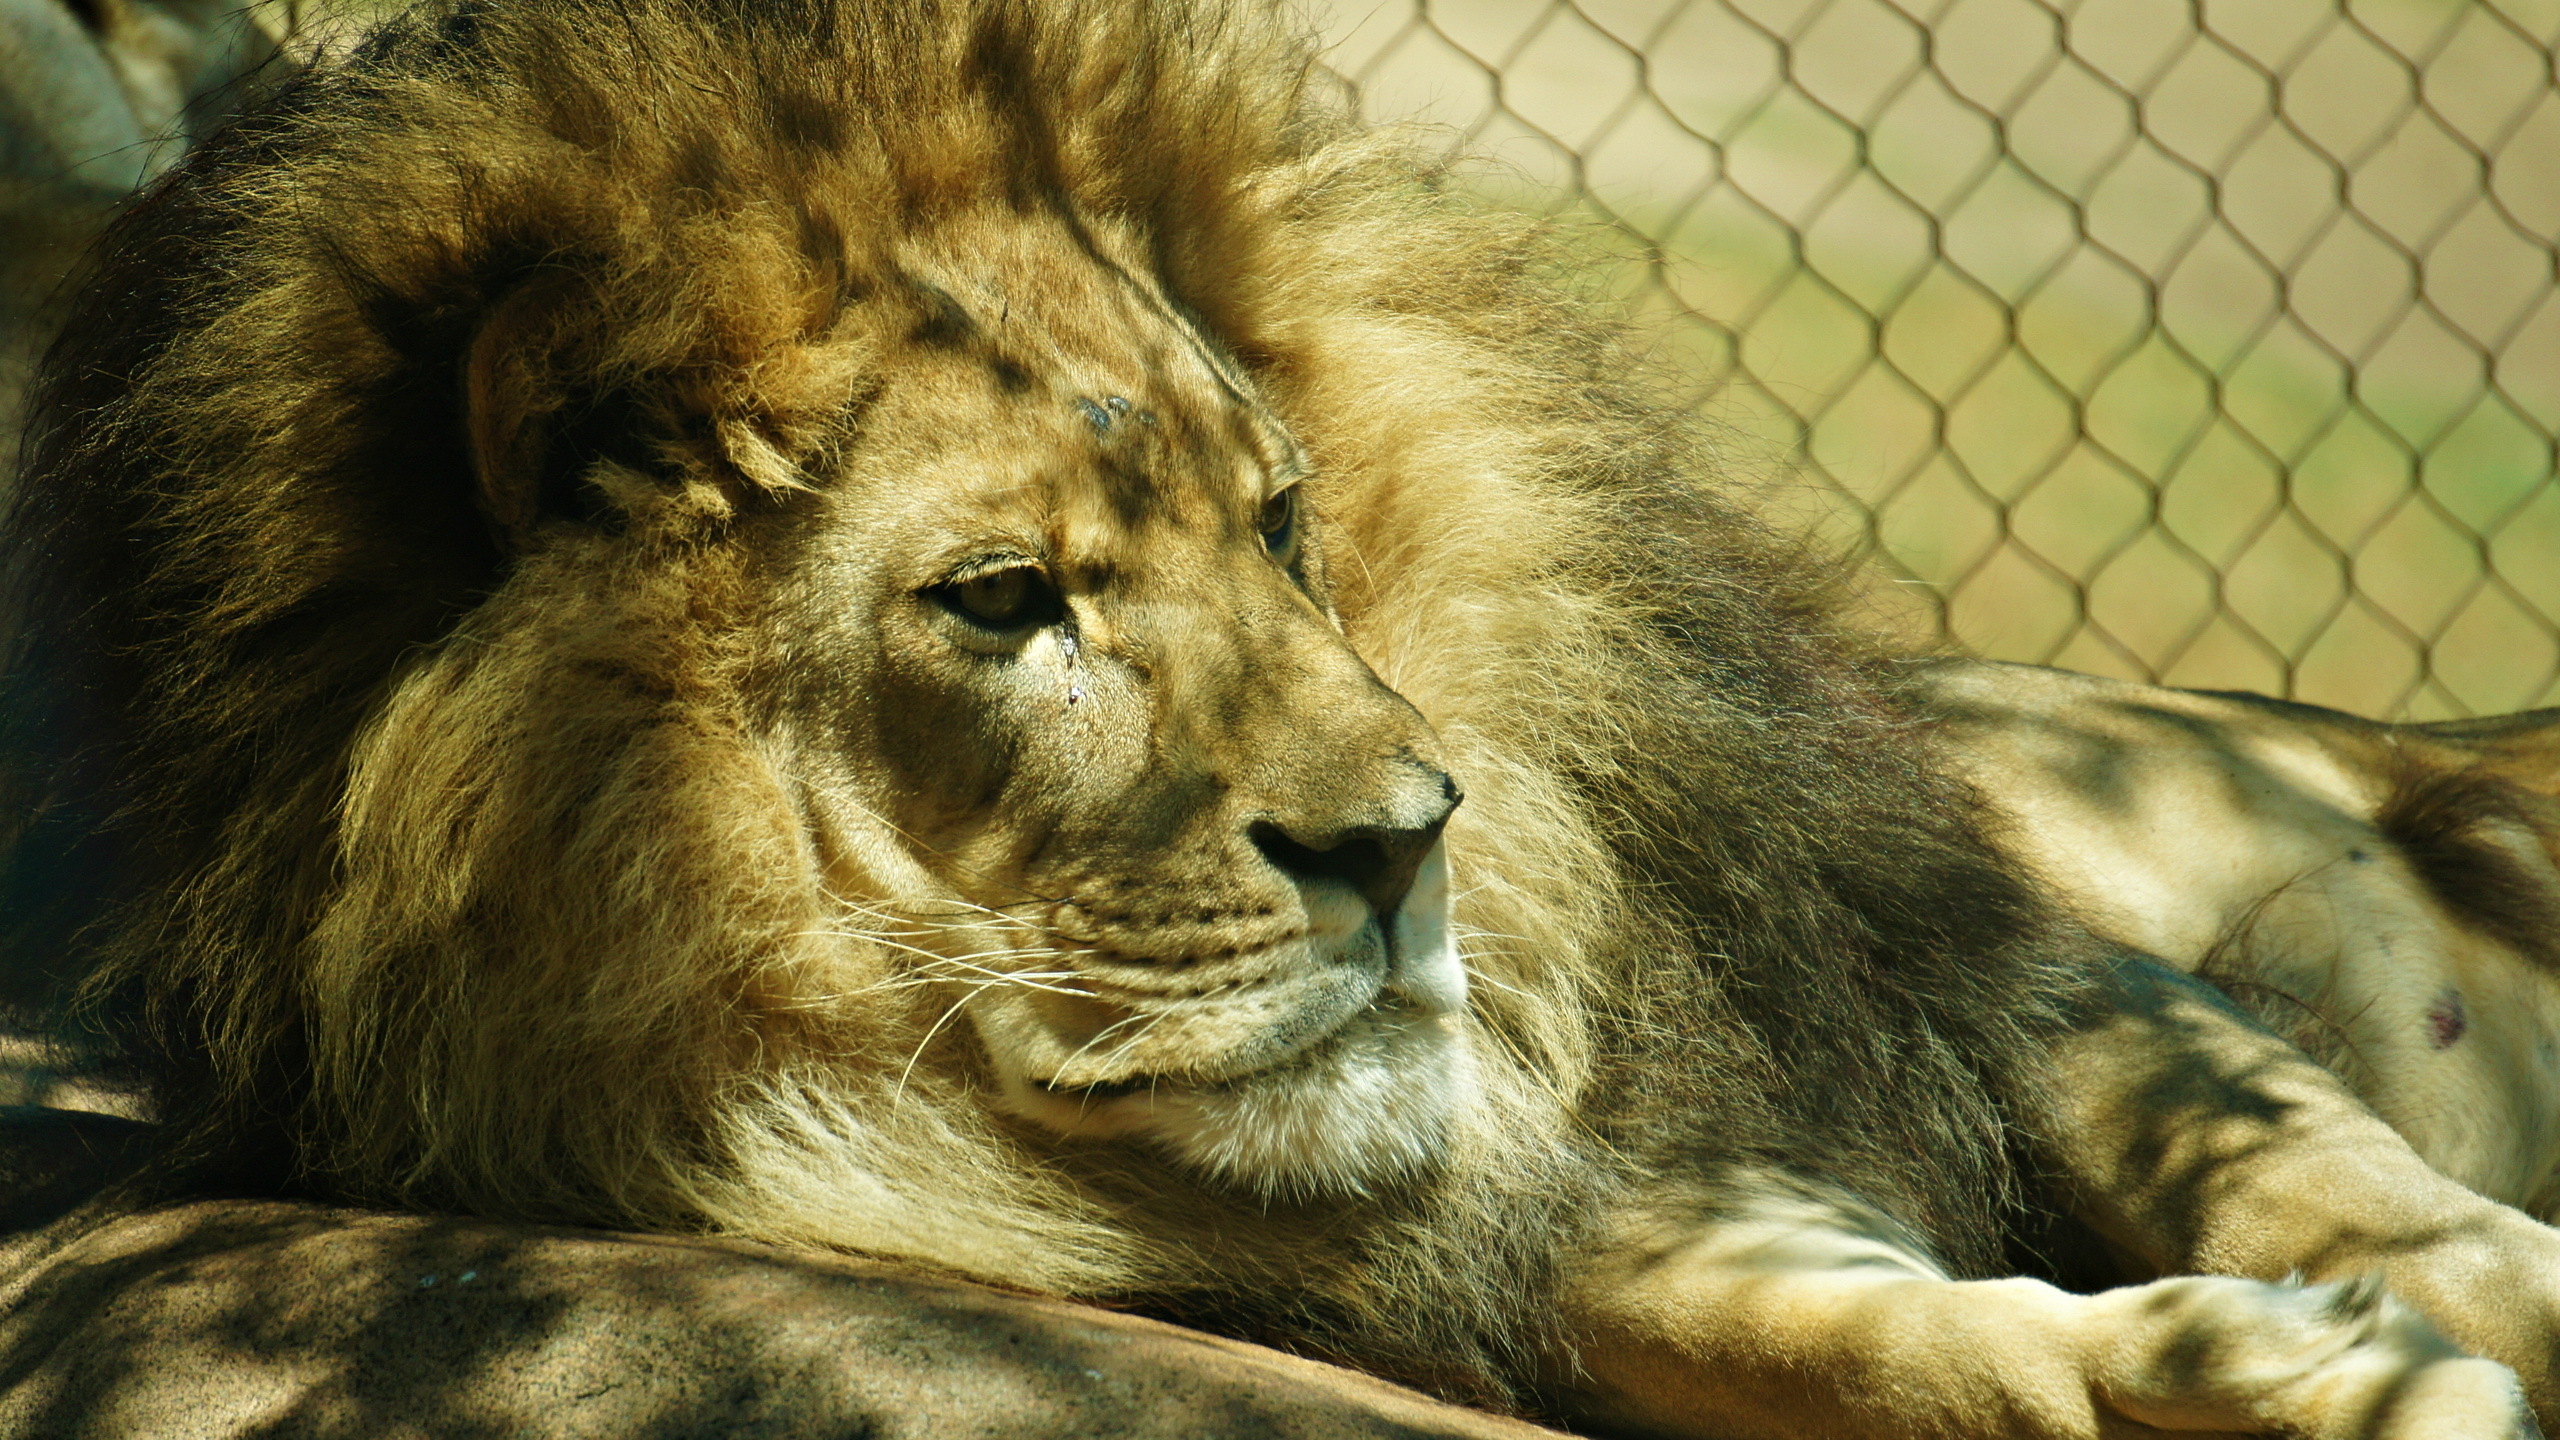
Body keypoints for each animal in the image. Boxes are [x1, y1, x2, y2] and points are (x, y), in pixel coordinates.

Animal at [5, 2, 2560, 1434]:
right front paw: (2210, 1369)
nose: (1413, 836)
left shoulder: (1960, 943)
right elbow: (1805, 1332)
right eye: (1005, 602)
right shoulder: (1516, 1239)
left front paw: (2437, 1297)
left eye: (1281, 522)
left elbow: (2294, 1154)